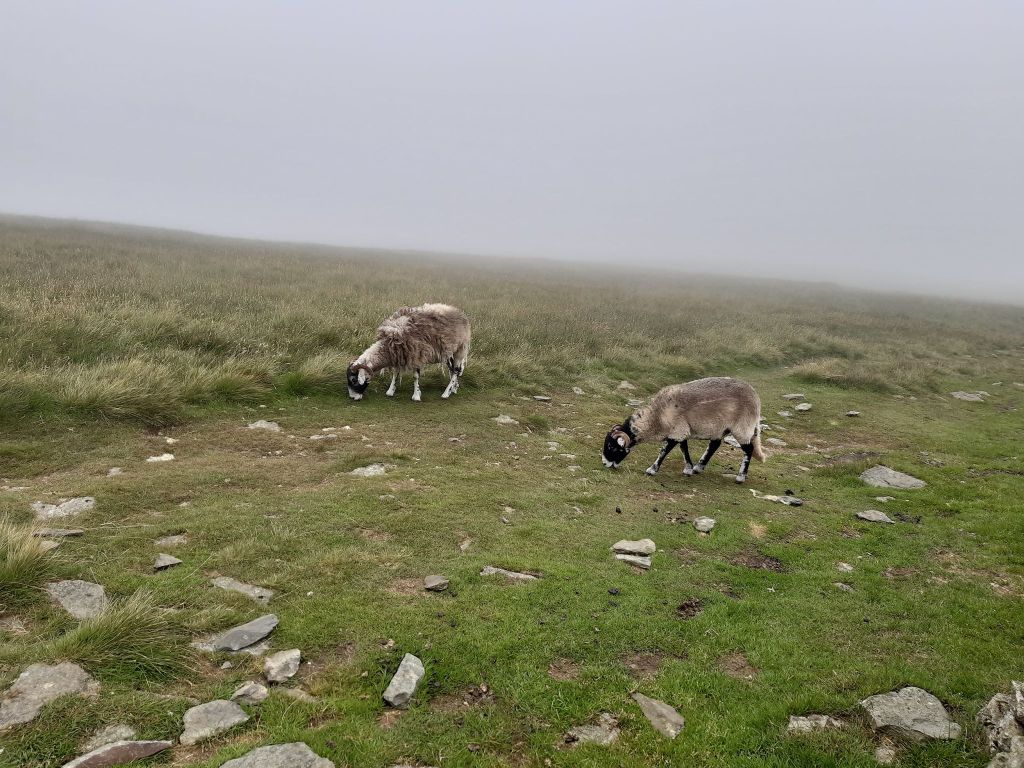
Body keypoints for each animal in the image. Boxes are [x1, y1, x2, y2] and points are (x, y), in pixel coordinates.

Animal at [601, 376, 766, 483]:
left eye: (611, 446)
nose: (604, 463)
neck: (657, 417)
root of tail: (756, 398)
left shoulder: (677, 430)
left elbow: (664, 450)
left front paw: (652, 470)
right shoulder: (680, 431)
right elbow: (683, 448)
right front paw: (688, 468)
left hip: (742, 427)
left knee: (748, 449)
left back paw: (741, 477)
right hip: (720, 427)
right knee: (714, 445)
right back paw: (699, 467)